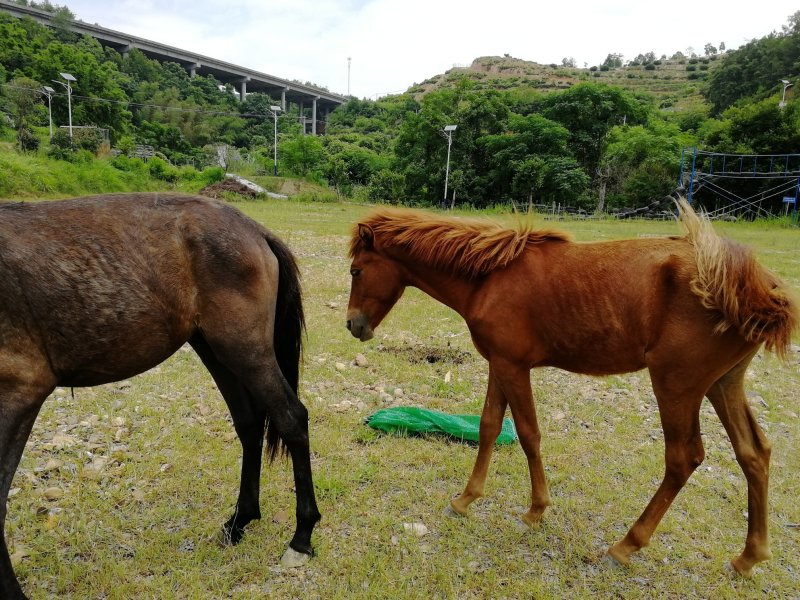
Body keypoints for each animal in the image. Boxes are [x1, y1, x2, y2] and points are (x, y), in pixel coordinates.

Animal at [0, 193, 320, 599]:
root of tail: (255, 230)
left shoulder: (20, 392)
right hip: (214, 347)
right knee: (249, 425)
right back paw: (240, 521)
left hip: (245, 348)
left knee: (291, 418)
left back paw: (302, 536)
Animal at [345, 198, 797, 577]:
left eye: (356, 270)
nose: (353, 325)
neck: (491, 278)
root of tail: (756, 286)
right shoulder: (500, 364)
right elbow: (489, 426)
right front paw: (466, 498)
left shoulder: (514, 367)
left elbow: (528, 433)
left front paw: (535, 509)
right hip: (723, 383)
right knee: (753, 454)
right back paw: (749, 556)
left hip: (676, 385)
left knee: (683, 459)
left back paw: (626, 545)